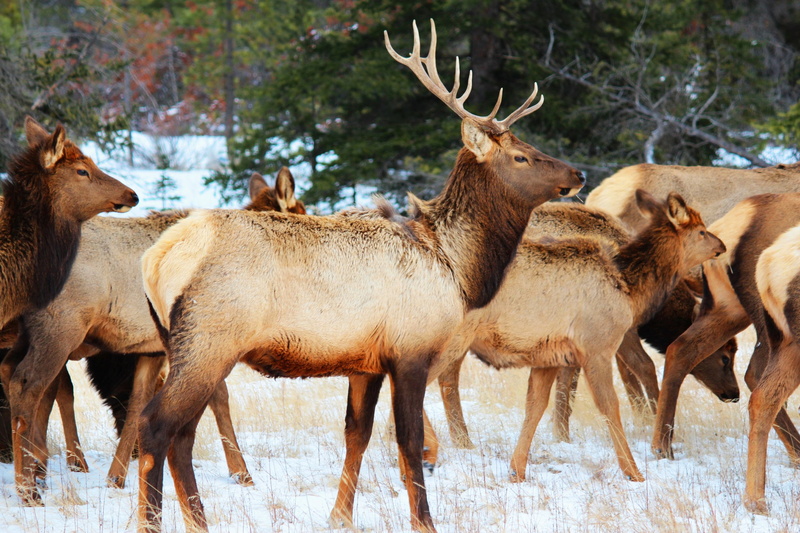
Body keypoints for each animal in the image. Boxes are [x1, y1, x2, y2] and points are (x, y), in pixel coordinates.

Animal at [0, 168, 305, 505]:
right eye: (301, 212)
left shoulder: (151, 349)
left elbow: (137, 405)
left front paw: (116, 477)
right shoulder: (201, 340)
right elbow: (220, 399)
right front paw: (242, 472)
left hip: (31, 332)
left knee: (13, 373)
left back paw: (34, 469)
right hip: (60, 328)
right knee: (29, 384)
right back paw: (29, 484)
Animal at [137, 19, 585, 533]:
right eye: (521, 157)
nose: (578, 173)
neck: (456, 265)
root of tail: (155, 259)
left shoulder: (365, 362)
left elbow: (358, 435)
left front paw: (340, 515)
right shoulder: (410, 350)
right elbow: (408, 441)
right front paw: (424, 522)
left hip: (186, 344)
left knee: (183, 435)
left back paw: (199, 521)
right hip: (210, 339)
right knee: (156, 426)